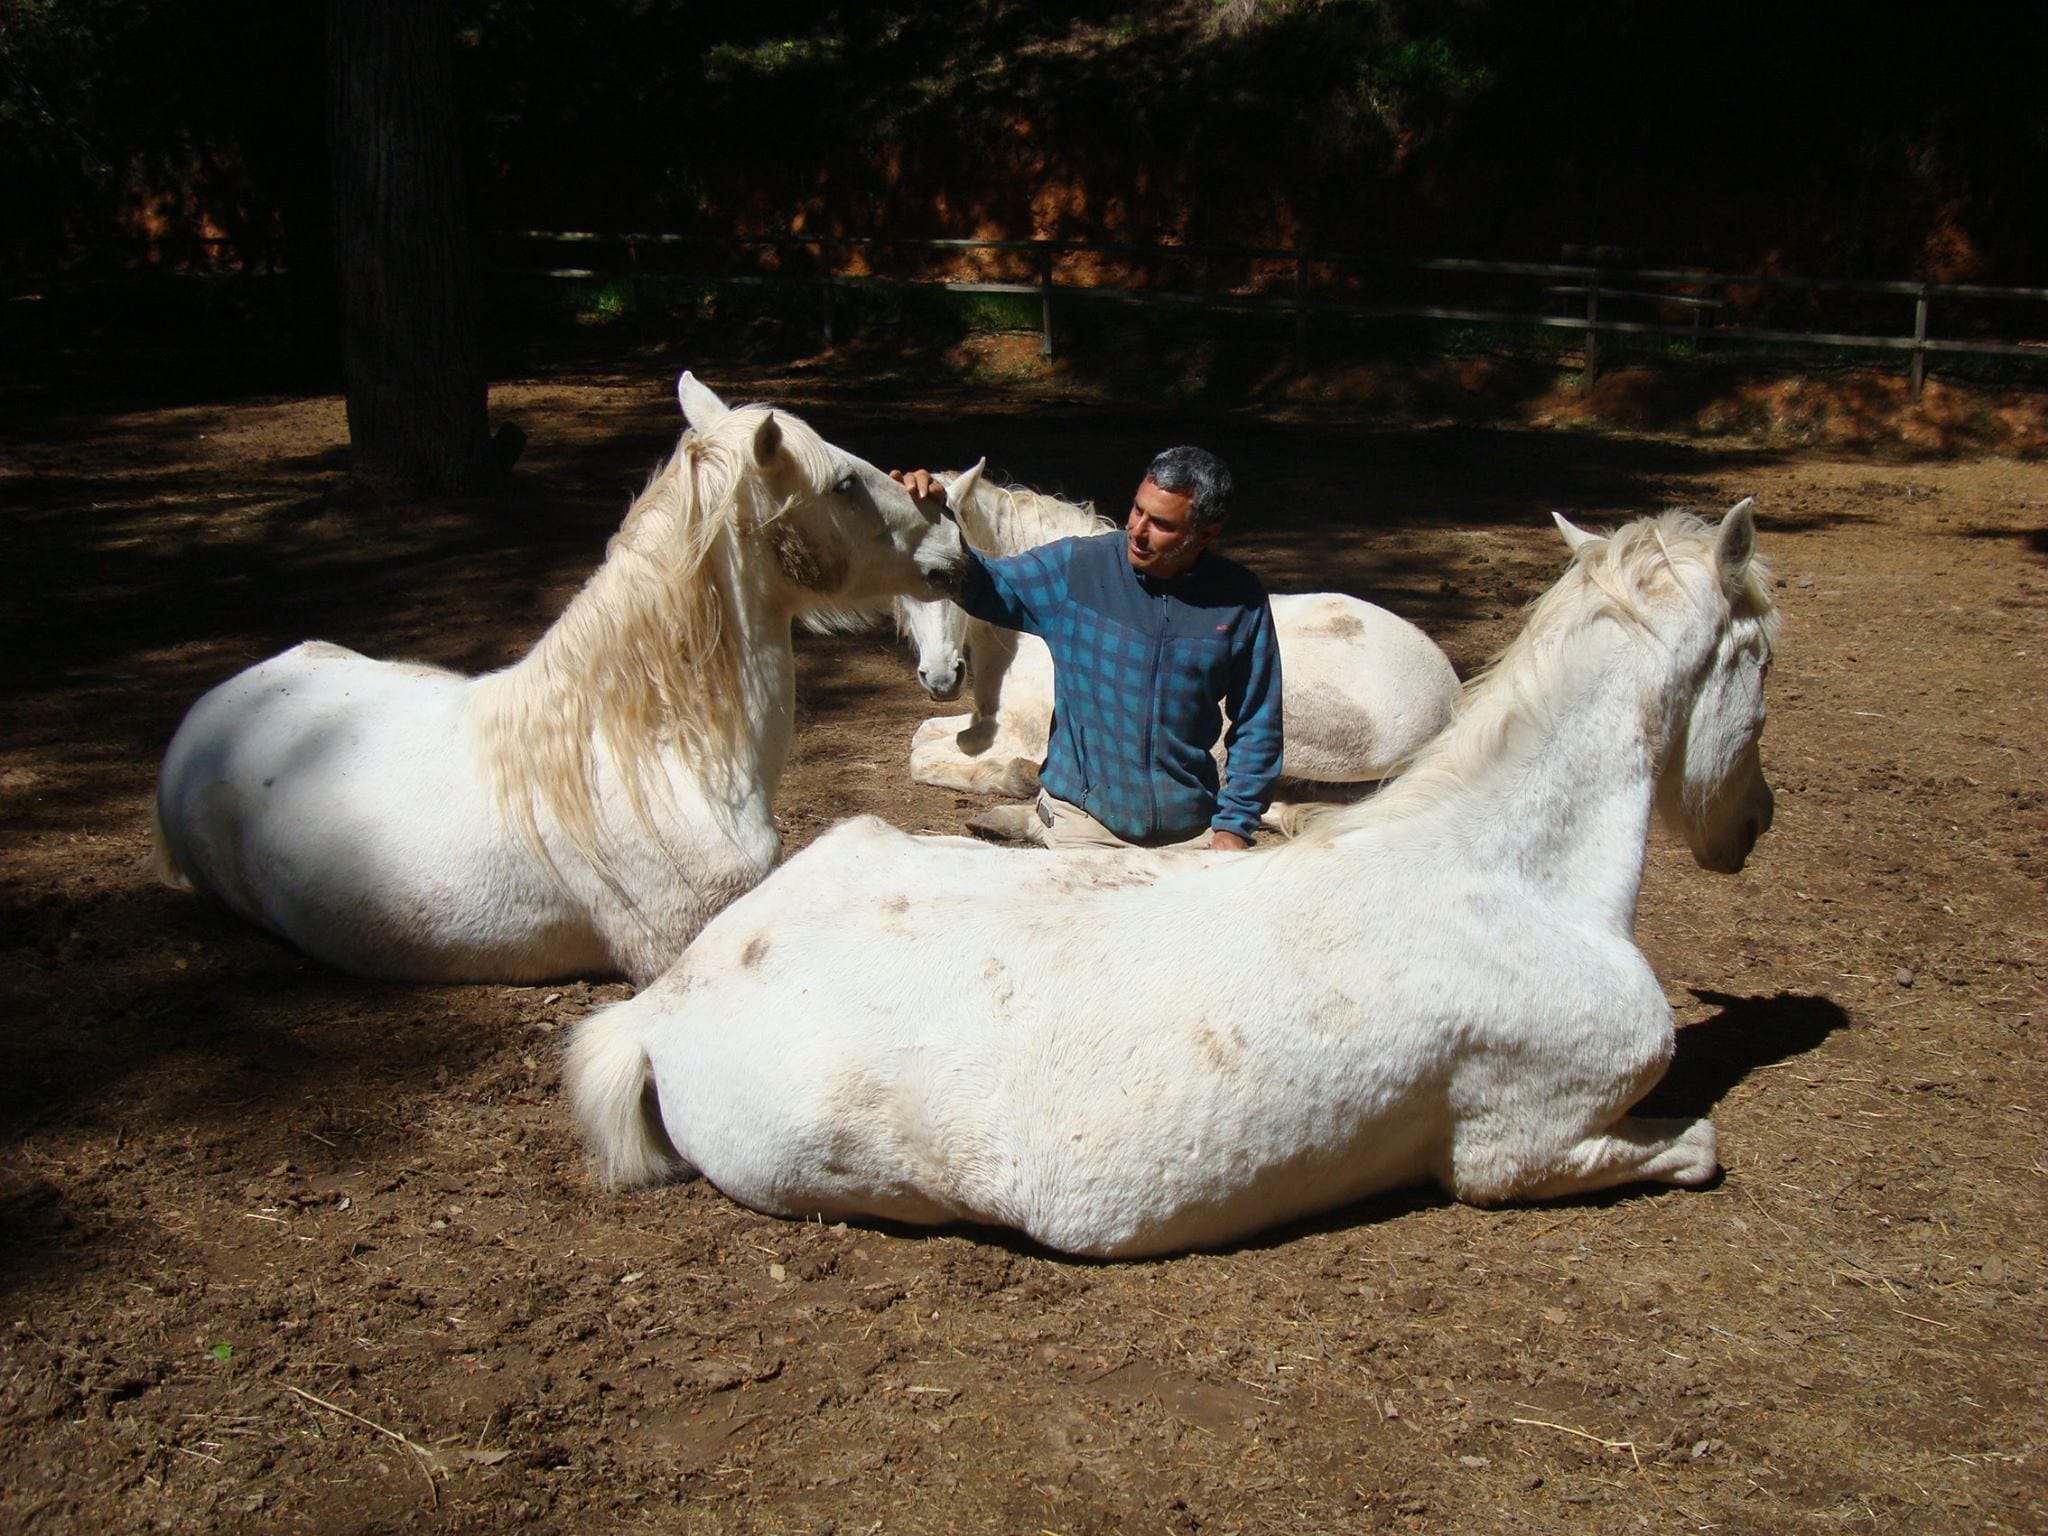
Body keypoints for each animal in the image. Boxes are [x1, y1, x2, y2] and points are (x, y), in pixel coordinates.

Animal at [566, 500, 1777, 1257]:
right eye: (1761, 654)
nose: (1752, 827)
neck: (1512, 877)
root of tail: (669, 1002)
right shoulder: (1515, 1152)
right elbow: (1703, 1148)